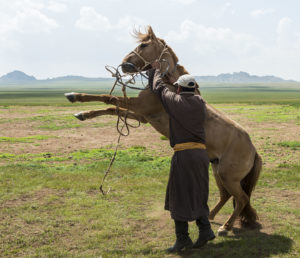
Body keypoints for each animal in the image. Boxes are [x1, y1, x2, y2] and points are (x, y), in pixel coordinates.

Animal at [64, 26, 262, 236]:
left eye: (144, 45)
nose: (124, 65)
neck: (169, 84)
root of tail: (254, 151)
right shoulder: (143, 116)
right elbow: (111, 108)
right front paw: (82, 114)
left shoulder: (141, 107)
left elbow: (107, 98)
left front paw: (74, 96)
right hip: (218, 172)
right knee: (226, 196)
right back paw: (211, 216)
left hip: (228, 177)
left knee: (242, 199)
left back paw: (226, 227)